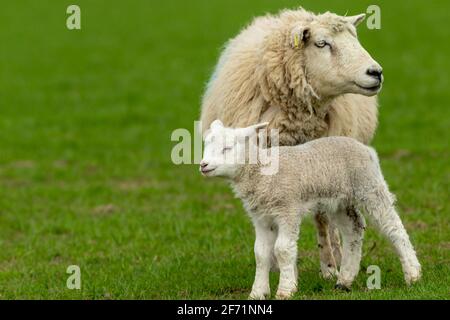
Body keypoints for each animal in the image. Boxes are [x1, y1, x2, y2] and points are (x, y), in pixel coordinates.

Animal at [200, 120, 422, 300]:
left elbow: (282, 249)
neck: (261, 172)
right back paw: (344, 280)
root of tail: (366, 149)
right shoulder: (261, 217)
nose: (203, 165)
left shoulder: (287, 209)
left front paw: (286, 290)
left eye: (227, 148)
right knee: (354, 229)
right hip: (340, 201)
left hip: (369, 186)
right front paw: (257, 293)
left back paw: (413, 274)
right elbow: (261, 253)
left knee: (393, 226)